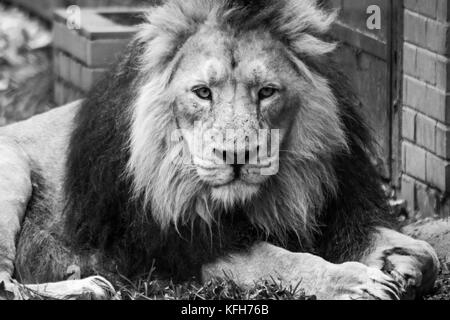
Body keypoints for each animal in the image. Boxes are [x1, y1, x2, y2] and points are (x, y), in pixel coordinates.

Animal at [0, 0, 440, 300]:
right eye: (202, 93)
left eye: (266, 92)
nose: (237, 156)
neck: (281, 192)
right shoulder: (194, 244)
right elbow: (285, 259)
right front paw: (356, 282)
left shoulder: (340, 208)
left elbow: (427, 254)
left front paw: (399, 265)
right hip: (12, 174)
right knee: (7, 285)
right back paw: (90, 286)